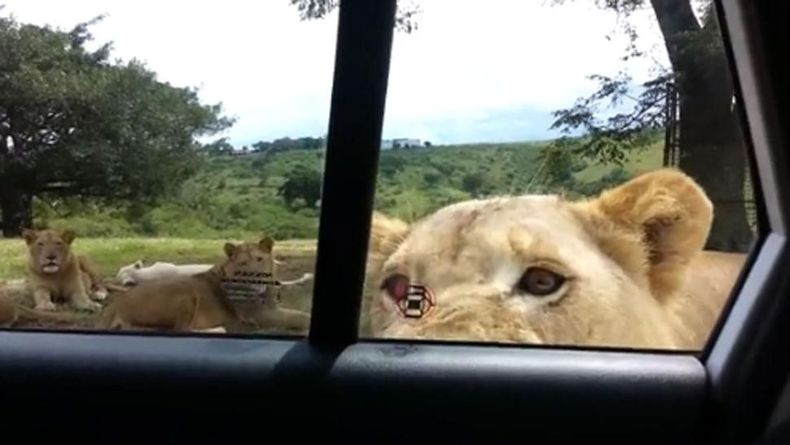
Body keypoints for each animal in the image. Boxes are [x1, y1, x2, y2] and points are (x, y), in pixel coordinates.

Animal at [97, 238, 310, 332]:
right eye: (242, 263)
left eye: (259, 259)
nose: (257, 278)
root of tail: (114, 305)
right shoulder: (259, 315)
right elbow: (298, 317)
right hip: (186, 295)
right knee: (181, 330)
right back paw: (220, 329)